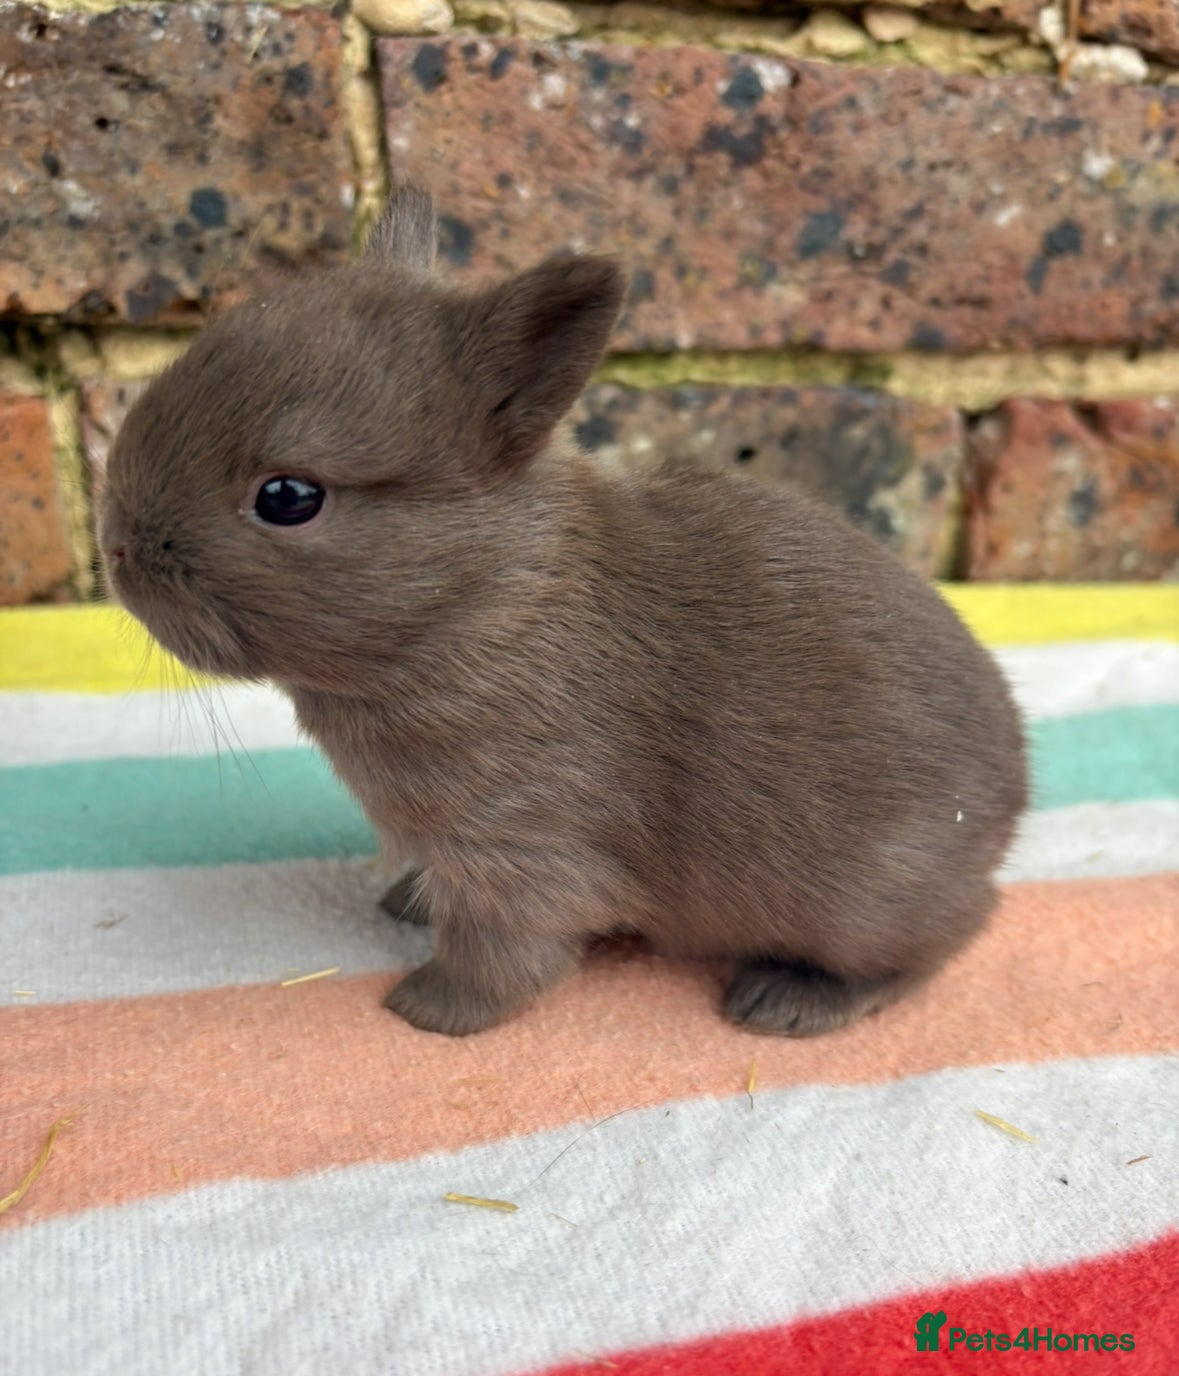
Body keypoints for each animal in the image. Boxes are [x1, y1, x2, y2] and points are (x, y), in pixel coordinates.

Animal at [99, 185, 1028, 1039]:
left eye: (288, 498)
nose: (116, 550)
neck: (483, 607)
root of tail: (1009, 808)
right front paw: (406, 902)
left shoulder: (520, 848)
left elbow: (503, 955)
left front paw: (426, 1011)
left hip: (866, 906)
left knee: (937, 947)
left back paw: (786, 1001)